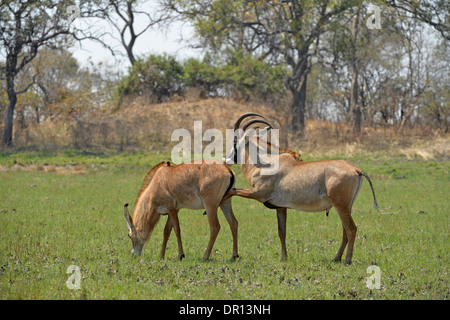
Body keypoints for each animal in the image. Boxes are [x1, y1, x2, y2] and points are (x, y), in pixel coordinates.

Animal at [223, 114, 378, 264]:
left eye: (235, 142)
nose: (225, 160)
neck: (266, 163)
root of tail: (356, 170)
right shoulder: (281, 207)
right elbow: (282, 232)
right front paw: (284, 258)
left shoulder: (258, 194)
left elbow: (233, 191)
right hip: (345, 207)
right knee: (345, 230)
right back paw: (336, 258)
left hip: (341, 206)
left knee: (351, 229)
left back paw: (347, 260)